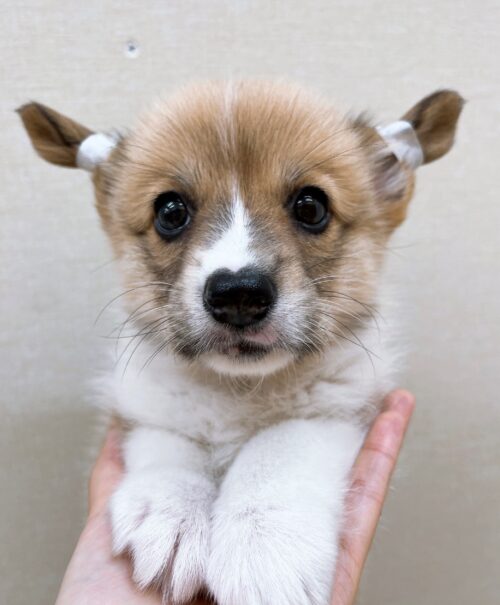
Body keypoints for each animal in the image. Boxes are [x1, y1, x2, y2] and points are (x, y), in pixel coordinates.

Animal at [19, 81, 462, 605]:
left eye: (311, 206)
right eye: (170, 211)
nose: (238, 295)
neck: (240, 391)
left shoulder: (336, 408)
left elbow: (277, 449)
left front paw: (265, 546)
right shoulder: (145, 410)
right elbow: (173, 445)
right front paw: (171, 515)